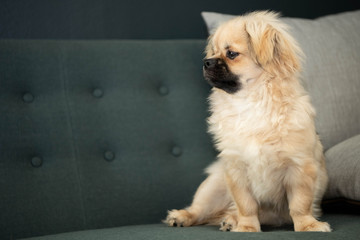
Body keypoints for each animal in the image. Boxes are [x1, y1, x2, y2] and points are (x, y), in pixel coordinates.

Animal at [165, 11, 330, 232]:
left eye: (231, 54)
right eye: (213, 52)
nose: (206, 61)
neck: (250, 100)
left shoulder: (299, 168)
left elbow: (299, 204)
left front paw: (308, 226)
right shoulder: (236, 170)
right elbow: (246, 204)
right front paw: (247, 228)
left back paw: (230, 220)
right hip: (214, 186)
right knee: (200, 210)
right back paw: (184, 217)